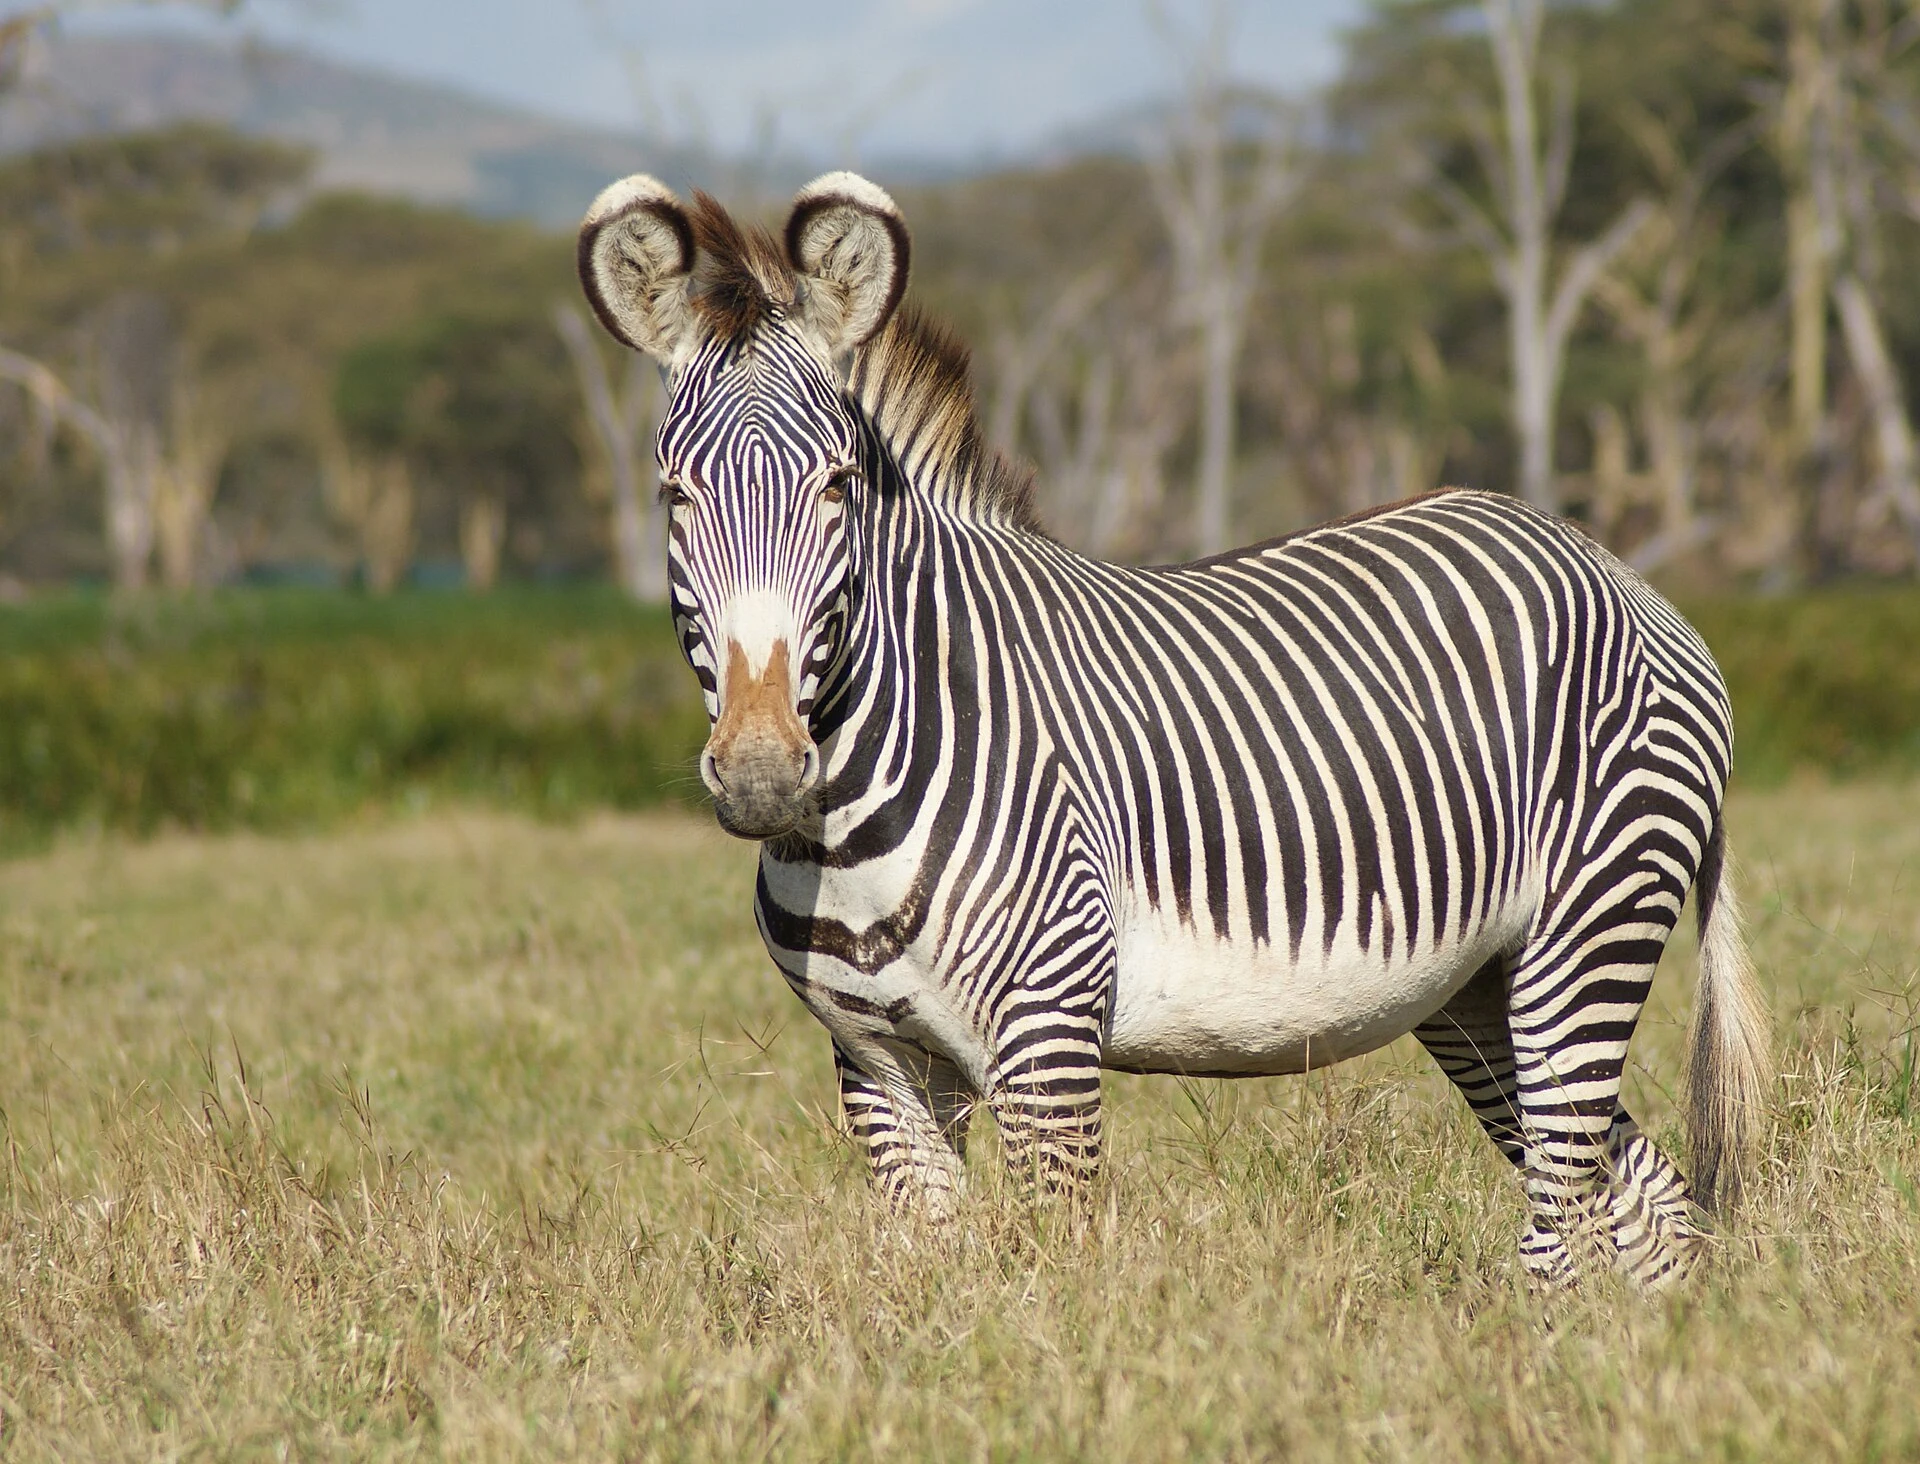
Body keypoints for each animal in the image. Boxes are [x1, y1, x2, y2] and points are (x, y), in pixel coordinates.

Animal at [576, 170, 1770, 1289]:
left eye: (837, 487)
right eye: (672, 497)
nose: (763, 774)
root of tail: (1617, 572)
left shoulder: (1046, 1034)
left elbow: (1053, 1274)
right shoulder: (875, 1061)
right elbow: (932, 1282)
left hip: (1589, 928)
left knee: (1562, 1222)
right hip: (1482, 981)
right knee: (1642, 1206)